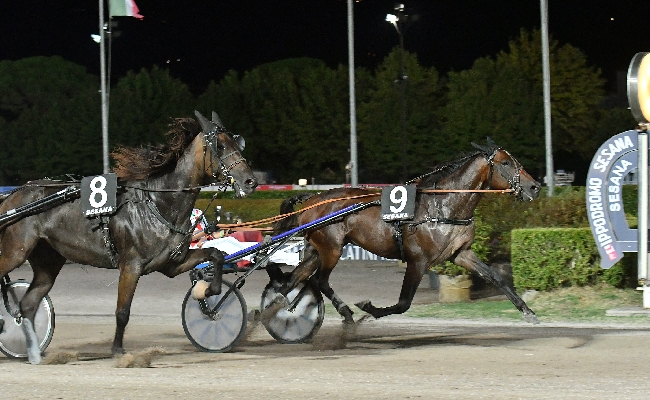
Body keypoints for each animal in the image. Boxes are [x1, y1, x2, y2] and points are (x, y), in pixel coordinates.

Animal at [0, 109, 256, 362]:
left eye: (238, 143)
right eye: (219, 146)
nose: (250, 181)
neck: (159, 203)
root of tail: (11, 197)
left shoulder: (173, 263)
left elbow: (216, 254)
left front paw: (209, 290)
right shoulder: (131, 265)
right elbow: (122, 311)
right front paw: (118, 351)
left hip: (48, 259)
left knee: (28, 305)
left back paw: (34, 353)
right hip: (15, 252)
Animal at [274, 140, 540, 324]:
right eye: (506, 163)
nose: (535, 187)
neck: (441, 206)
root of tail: (312, 200)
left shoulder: (461, 253)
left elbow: (496, 277)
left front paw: (528, 312)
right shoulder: (417, 261)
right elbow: (403, 303)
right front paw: (368, 309)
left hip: (316, 250)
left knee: (295, 280)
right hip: (332, 248)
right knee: (319, 280)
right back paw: (346, 313)